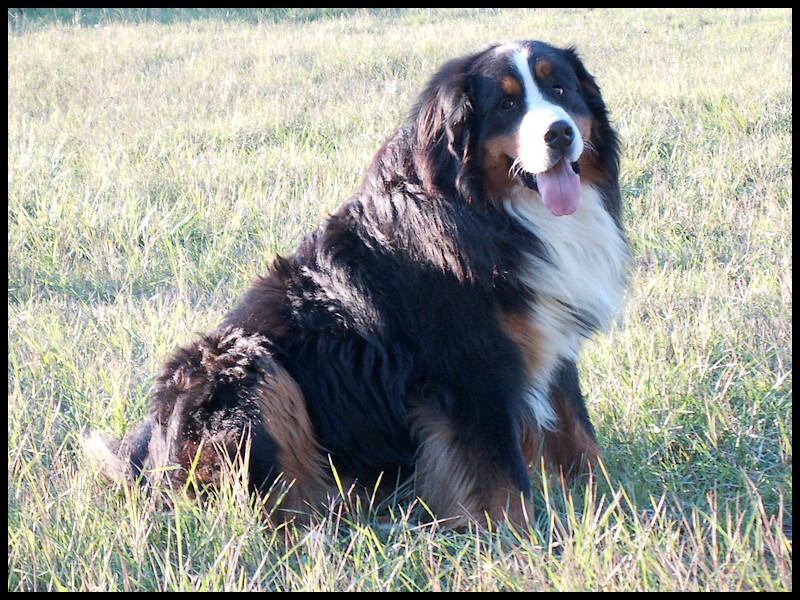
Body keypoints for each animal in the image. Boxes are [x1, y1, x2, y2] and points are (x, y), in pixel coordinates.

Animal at [87, 39, 628, 528]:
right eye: (507, 105)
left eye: (560, 89)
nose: (558, 133)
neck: (490, 212)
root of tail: (151, 462)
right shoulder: (473, 367)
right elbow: (500, 477)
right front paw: (519, 543)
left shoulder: (549, 340)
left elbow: (579, 437)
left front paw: (615, 507)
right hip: (245, 365)